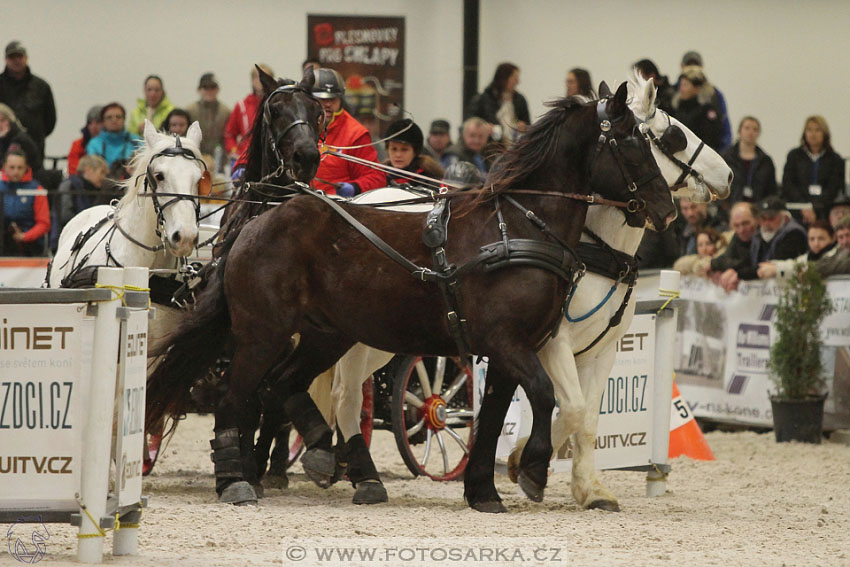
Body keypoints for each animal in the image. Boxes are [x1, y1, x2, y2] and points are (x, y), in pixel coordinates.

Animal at [146, 82, 676, 512]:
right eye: (631, 142)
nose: (667, 208)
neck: (517, 226)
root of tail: (257, 221)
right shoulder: (510, 343)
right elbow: (546, 396)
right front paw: (532, 470)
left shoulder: (512, 350)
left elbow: (495, 417)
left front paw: (483, 491)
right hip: (263, 333)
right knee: (237, 397)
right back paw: (236, 480)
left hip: (326, 336)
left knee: (281, 388)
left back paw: (322, 453)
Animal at [328, 74, 732, 506]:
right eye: (673, 135)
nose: (728, 176)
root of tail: (362, 197)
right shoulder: (550, 343)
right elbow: (568, 406)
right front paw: (523, 462)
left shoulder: (602, 350)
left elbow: (588, 418)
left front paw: (588, 488)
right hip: (368, 338)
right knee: (347, 395)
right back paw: (355, 472)